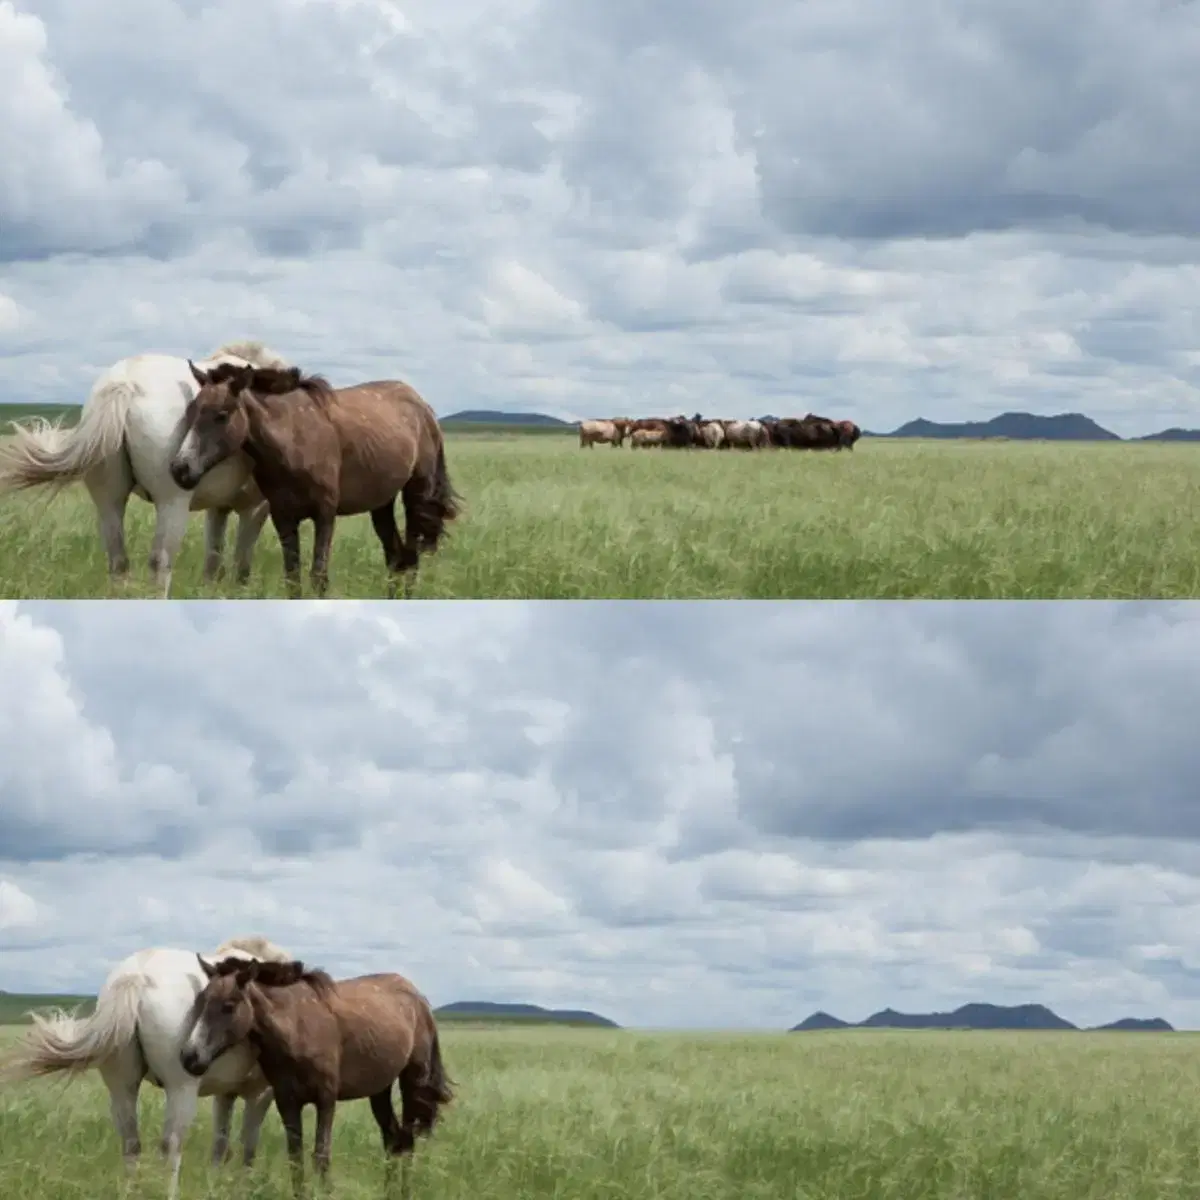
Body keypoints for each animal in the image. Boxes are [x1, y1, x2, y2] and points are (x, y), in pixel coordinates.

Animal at [0, 343, 289, 595]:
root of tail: (125, 383)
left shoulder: (218, 509)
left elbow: (213, 563)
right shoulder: (255, 509)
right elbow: (241, 567)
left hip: (109, 501)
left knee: (118, 561)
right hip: (172, 504)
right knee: (160, 563)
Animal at [0, 936, 292, 1200]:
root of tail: (137, 975)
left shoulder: (225, 1094)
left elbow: (221, 1144)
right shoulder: (260, 1094)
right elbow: (247, 1147)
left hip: (122, 1087)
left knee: (131, 1143)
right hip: (181, 1089)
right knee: (171, 1145)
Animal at [171, 360, 460, 595]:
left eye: (222, 415)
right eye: (191, 412)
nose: (180, 469)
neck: (294, 439)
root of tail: (423, 406)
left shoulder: (325, 514)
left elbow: (318, 577)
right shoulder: (283, 518)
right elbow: (293, 578)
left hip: (417, 496)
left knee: (410, 559)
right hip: (382, 504)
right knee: (396, 558)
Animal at [180, 960, 451, 1195]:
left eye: (229, 1005)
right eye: (201, 1001)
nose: (189, 1057)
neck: (296, 1027)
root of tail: (418, 997)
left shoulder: (326, 1099)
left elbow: (321, 1156)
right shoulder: (287, 1102)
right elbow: (296, 1157)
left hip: (412, 1082)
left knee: (407, 1141)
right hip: (380, 1089)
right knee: (393, 1140)